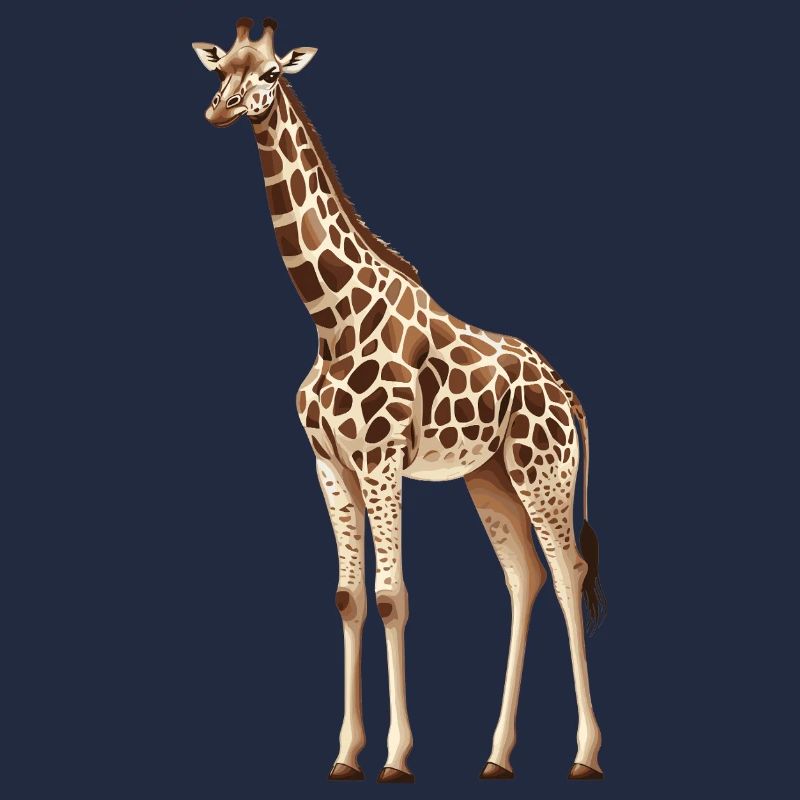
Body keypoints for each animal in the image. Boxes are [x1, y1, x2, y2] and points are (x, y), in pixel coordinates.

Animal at [193, 17, 607, 783]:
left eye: (270, 73)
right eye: (222, 67)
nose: (221, 109)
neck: (332, 319)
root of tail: (571, 397)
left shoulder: (382, 460)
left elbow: (391, 598)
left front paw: (395, 756)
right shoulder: (329, 465)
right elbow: (348, 598)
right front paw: (344, 755)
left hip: (545, 473)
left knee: (569, 572)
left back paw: (586, 755)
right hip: (490, 477)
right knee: (524, 577)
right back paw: (497, 756)